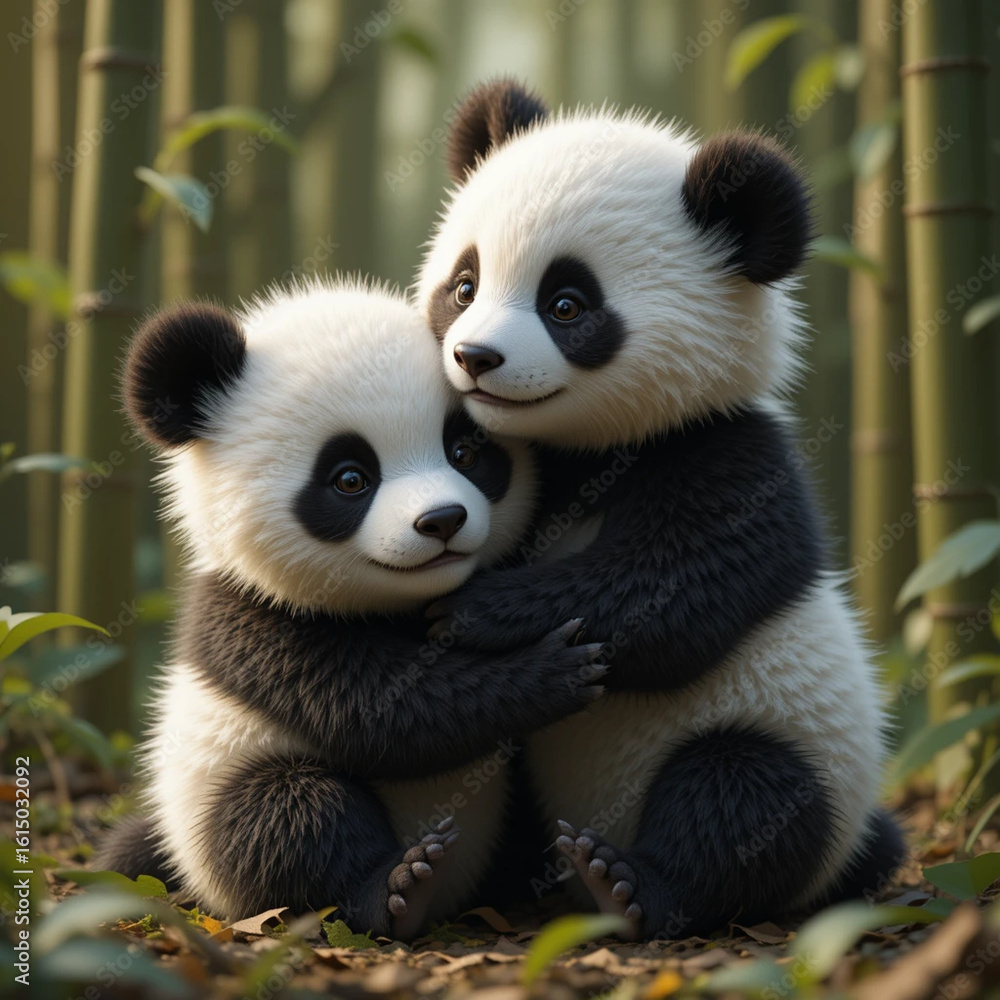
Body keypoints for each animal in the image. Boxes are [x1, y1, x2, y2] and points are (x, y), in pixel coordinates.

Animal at [100, 279, 608, 940]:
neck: (403, 602)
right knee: (286, 817)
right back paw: (397, 888)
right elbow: (381, 713)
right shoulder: (254, 619)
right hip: (213, 800)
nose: (442, 520)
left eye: (465, 451)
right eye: (349, 479)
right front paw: (554, 669)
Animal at [414, 79, 905, 940]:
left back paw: (628, 884)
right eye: (464, 284)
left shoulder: (727, 456)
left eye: (567, 304)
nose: (474, 359)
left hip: (791, 748)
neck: (585, 452)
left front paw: (479, 609)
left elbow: (673, 595)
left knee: (741, 799)